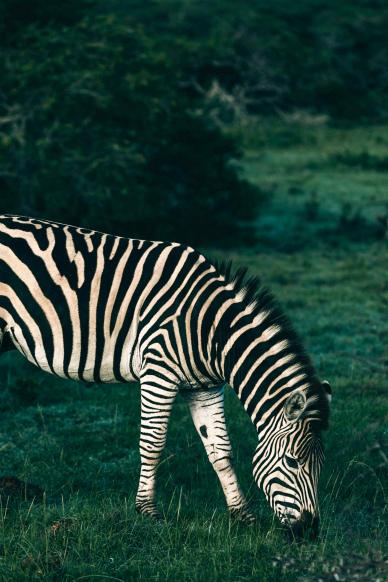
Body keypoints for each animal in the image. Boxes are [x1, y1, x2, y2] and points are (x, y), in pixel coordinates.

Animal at [0, 214, 330, 540]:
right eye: (292, 461)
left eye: (321, 463)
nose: (309, 532)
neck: (213, 330)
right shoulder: (158, 372)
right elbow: (153, 443)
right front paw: (148, 511)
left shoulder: (205, 387)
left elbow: (221, 450)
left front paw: (242, 515)